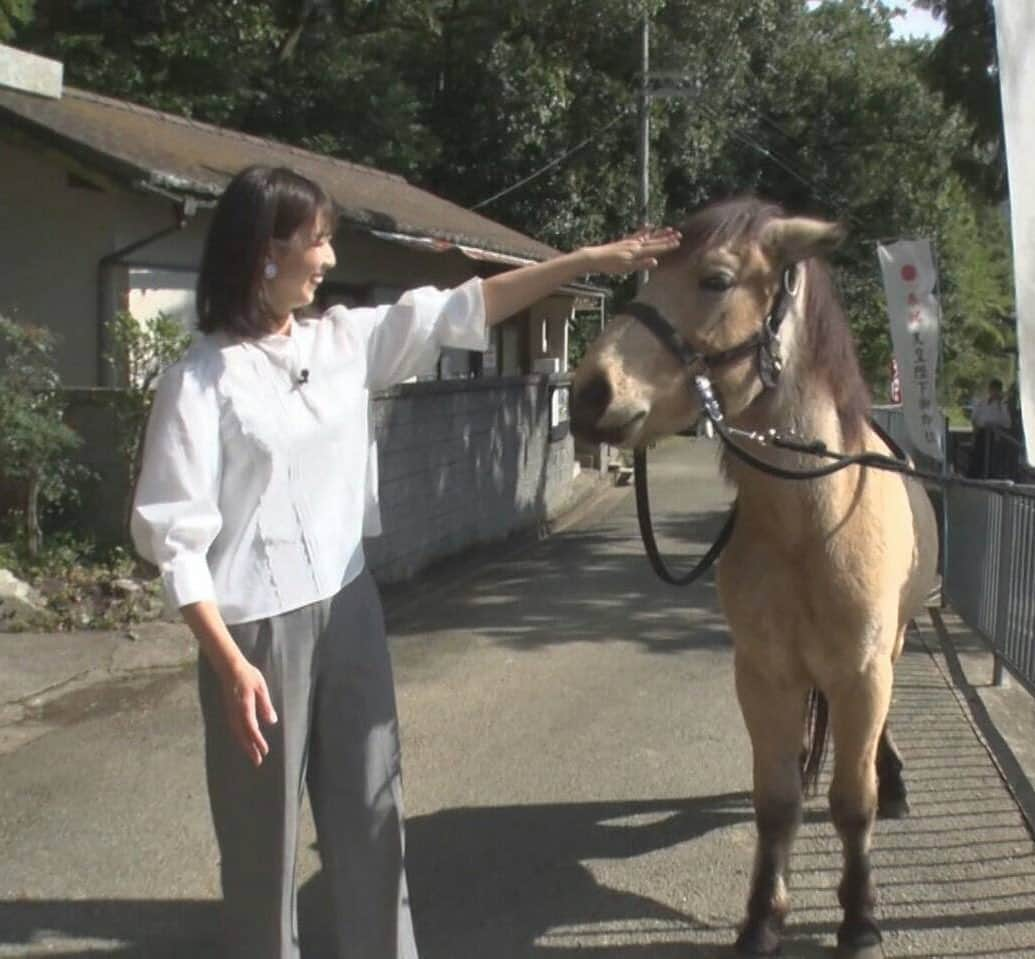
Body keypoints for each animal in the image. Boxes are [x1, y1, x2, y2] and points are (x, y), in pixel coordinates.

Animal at [571, 198, 943, 955]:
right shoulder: (763, 672)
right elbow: (775, 804)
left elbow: (851, 802)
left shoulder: (862, 671)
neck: (810, 522)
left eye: (715, 279)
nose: (588, 393)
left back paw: (892, 780)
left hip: (890, 647)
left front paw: (859, 917)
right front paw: (761, 917)